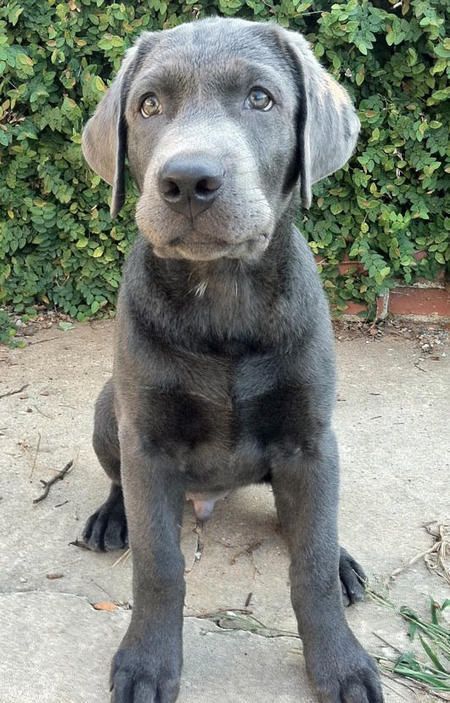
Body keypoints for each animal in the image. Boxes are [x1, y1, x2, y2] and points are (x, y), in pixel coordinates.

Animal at [81, 16, 384, 703]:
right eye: (148, 106)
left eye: (260, 99)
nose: (188, 181)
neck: (221, 296)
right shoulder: (147, 444)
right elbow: (158, 566)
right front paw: (147, 664)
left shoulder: (310, 440)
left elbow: (311, 565)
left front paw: (341, 665)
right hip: (110, 408)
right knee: (120, 484)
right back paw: (112, 518)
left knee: (307, 525)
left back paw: (342, 558)